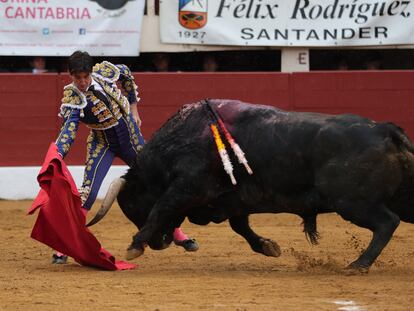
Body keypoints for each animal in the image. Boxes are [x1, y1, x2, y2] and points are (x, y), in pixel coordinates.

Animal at [88, 100, 414, 270]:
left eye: (133, 206)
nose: (159, 243)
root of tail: (385, 130)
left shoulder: (186, 188)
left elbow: (161, 208)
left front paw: (134, 245)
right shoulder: (233, 198)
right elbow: (240, 226)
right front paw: (269, 246)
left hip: (352, 203)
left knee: (387, 223)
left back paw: (359, 264)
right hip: (392, 198)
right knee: (392, 221)